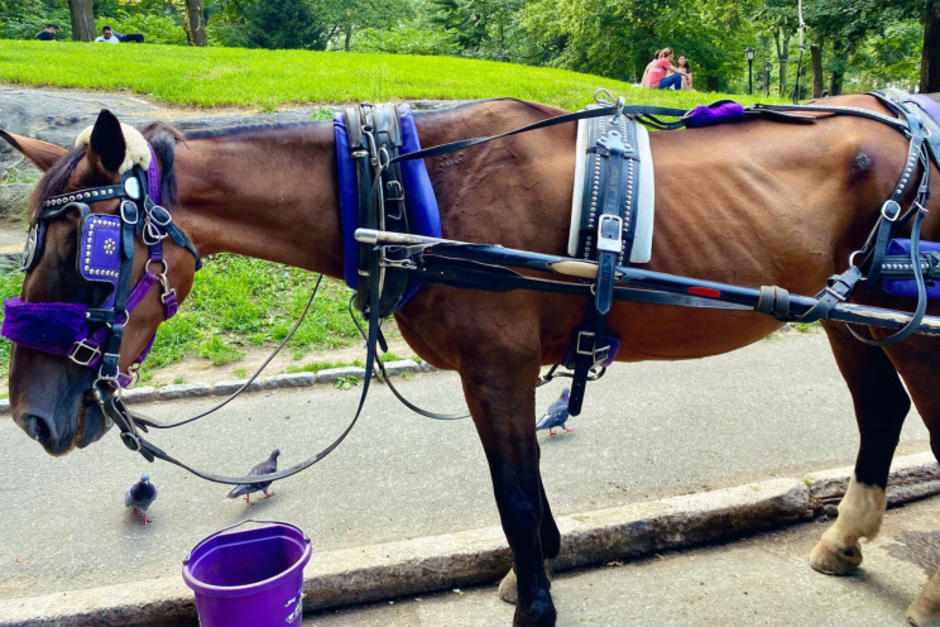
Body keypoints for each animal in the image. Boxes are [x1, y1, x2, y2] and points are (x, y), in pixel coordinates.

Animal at [1, 92, 939, 626]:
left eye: (87, 250)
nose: (32, 416)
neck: (404, 192)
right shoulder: (501, 375)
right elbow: (520, 484)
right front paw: (534, 570)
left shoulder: (498, 366)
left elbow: (515, 496)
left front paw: (536, 600)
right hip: (853, 316)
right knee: (880, 412)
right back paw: (845, 537)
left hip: (916, 324)